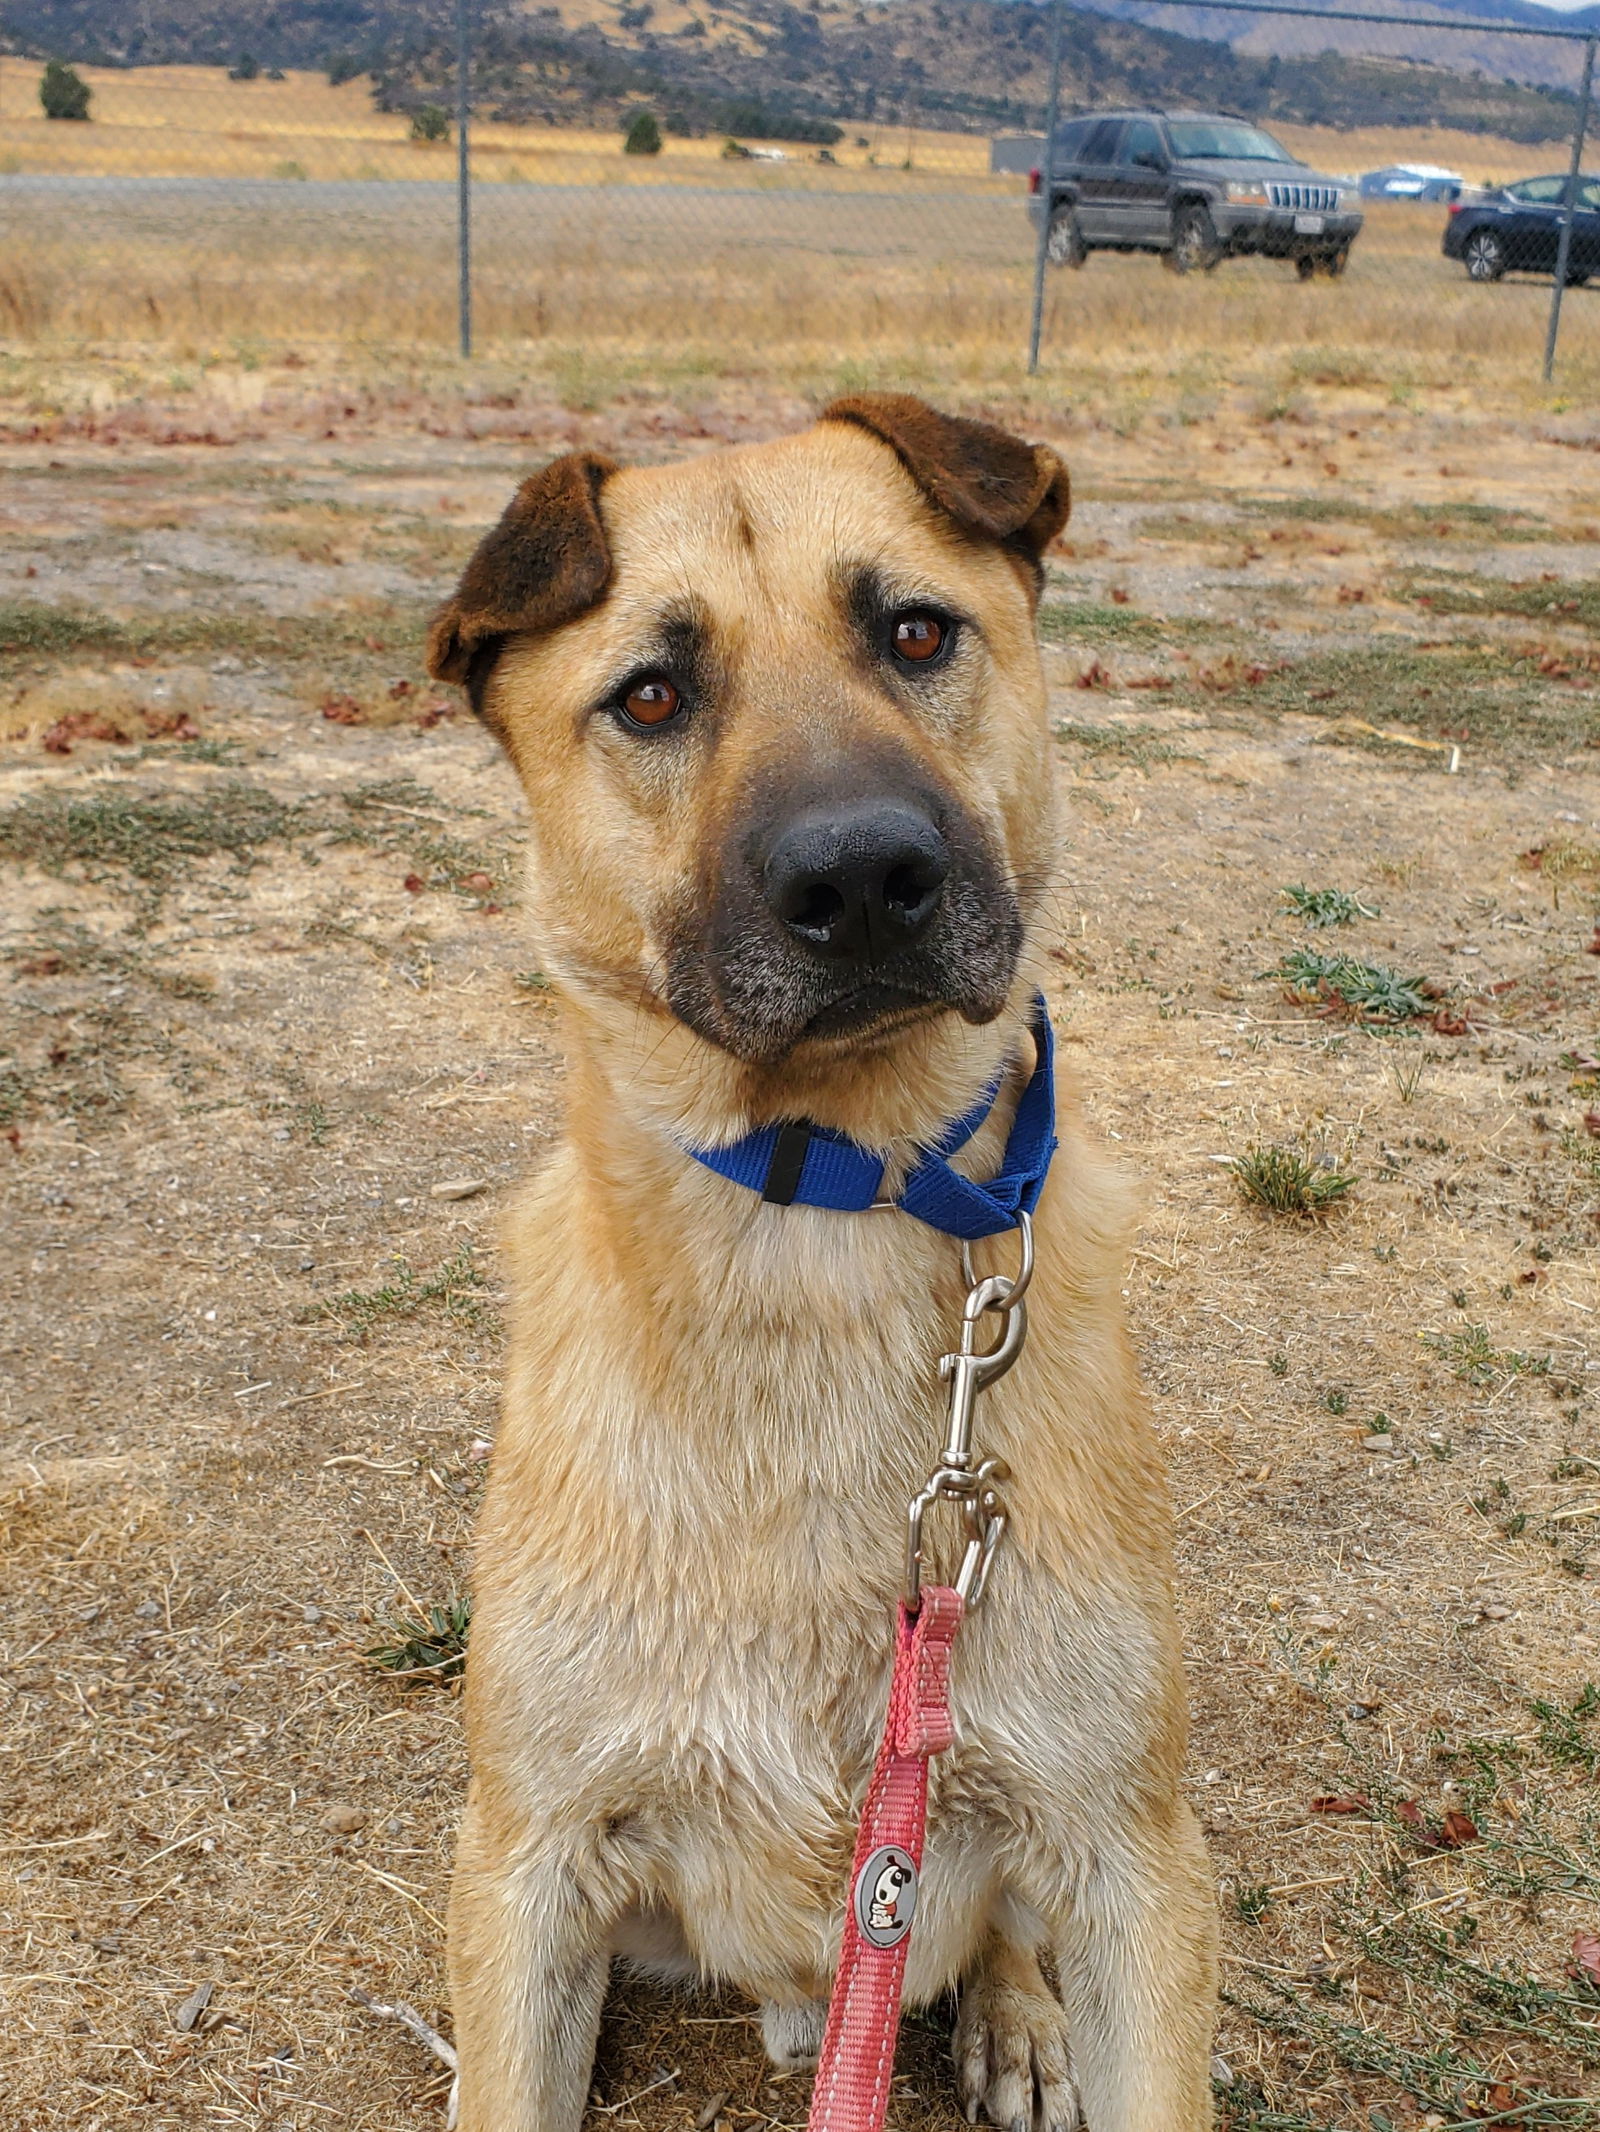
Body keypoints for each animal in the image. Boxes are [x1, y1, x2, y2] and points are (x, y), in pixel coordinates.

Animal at [426, 392, 1211, 2123]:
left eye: (916, 631)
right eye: (651, 695)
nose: (860, 876)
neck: (819, 1225)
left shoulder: (1137, 1867)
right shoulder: (528, 1865)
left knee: (1001, 1926)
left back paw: (1015, 2018)